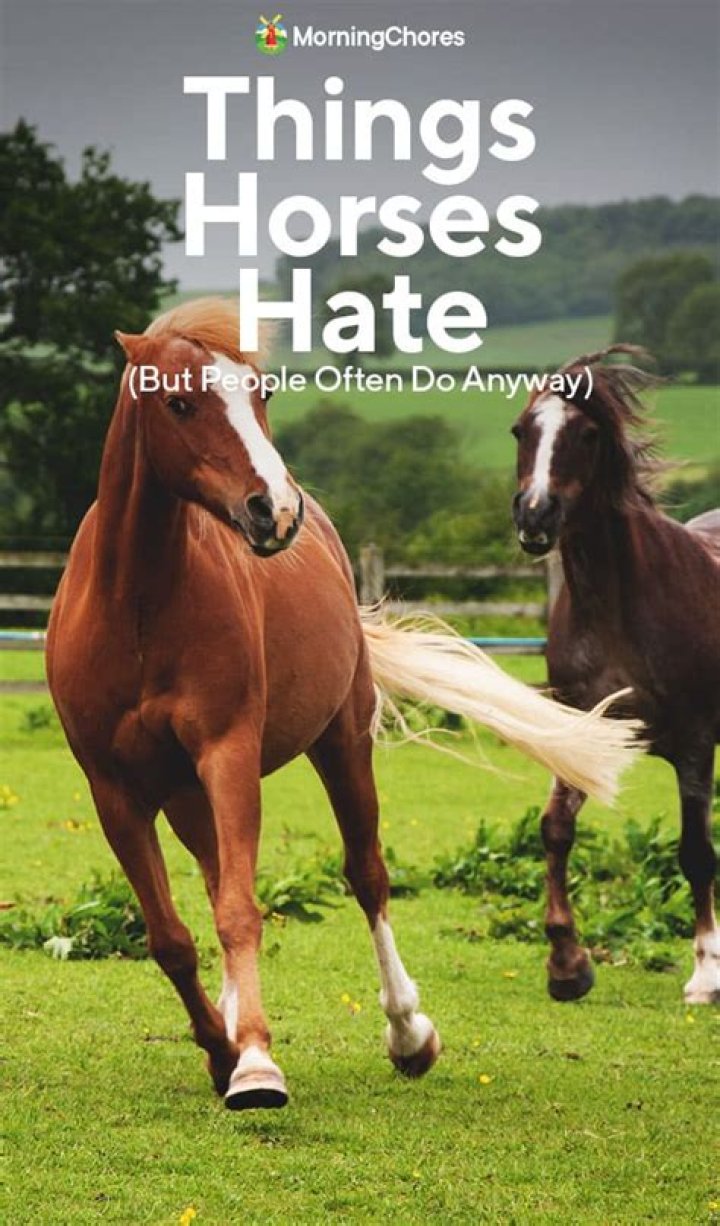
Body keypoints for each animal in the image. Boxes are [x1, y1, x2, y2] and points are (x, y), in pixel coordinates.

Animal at [47, 299, 642, 1112]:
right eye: (179, 403)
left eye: (261, 393)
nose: (274, 510)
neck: (134, 606)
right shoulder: (114, 792)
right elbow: (171, 935)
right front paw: (221, 1048)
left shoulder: (228, 753)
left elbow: (241, 911)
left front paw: (256, 1064)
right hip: (185, 793)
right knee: (217, 876)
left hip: (338, 743)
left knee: (366, 876)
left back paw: (407, 1035)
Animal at [511, 345, 720, 1005]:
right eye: (521, 431)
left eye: (588, 433)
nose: (536, 514)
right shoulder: (579, 730)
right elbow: (555, 830)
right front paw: (567, 965)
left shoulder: (696, 743)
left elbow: (697, 852)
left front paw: (706, 973)